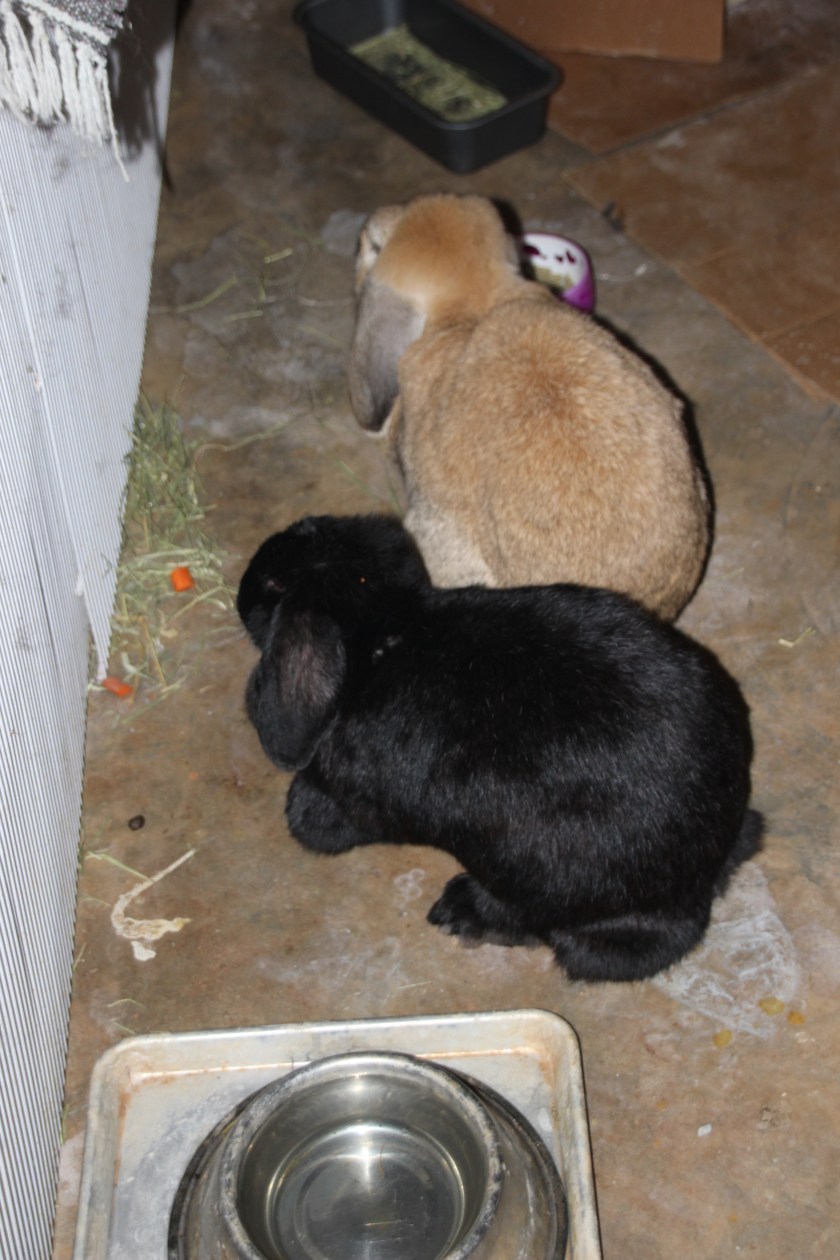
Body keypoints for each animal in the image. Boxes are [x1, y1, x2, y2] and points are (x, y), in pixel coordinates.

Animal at [237, 512, 762, 983]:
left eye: (275, 585)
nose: (242, 592)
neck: (389, 634)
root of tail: (708, 870)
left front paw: (300, 813)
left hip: (536, 877)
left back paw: (462, 911)